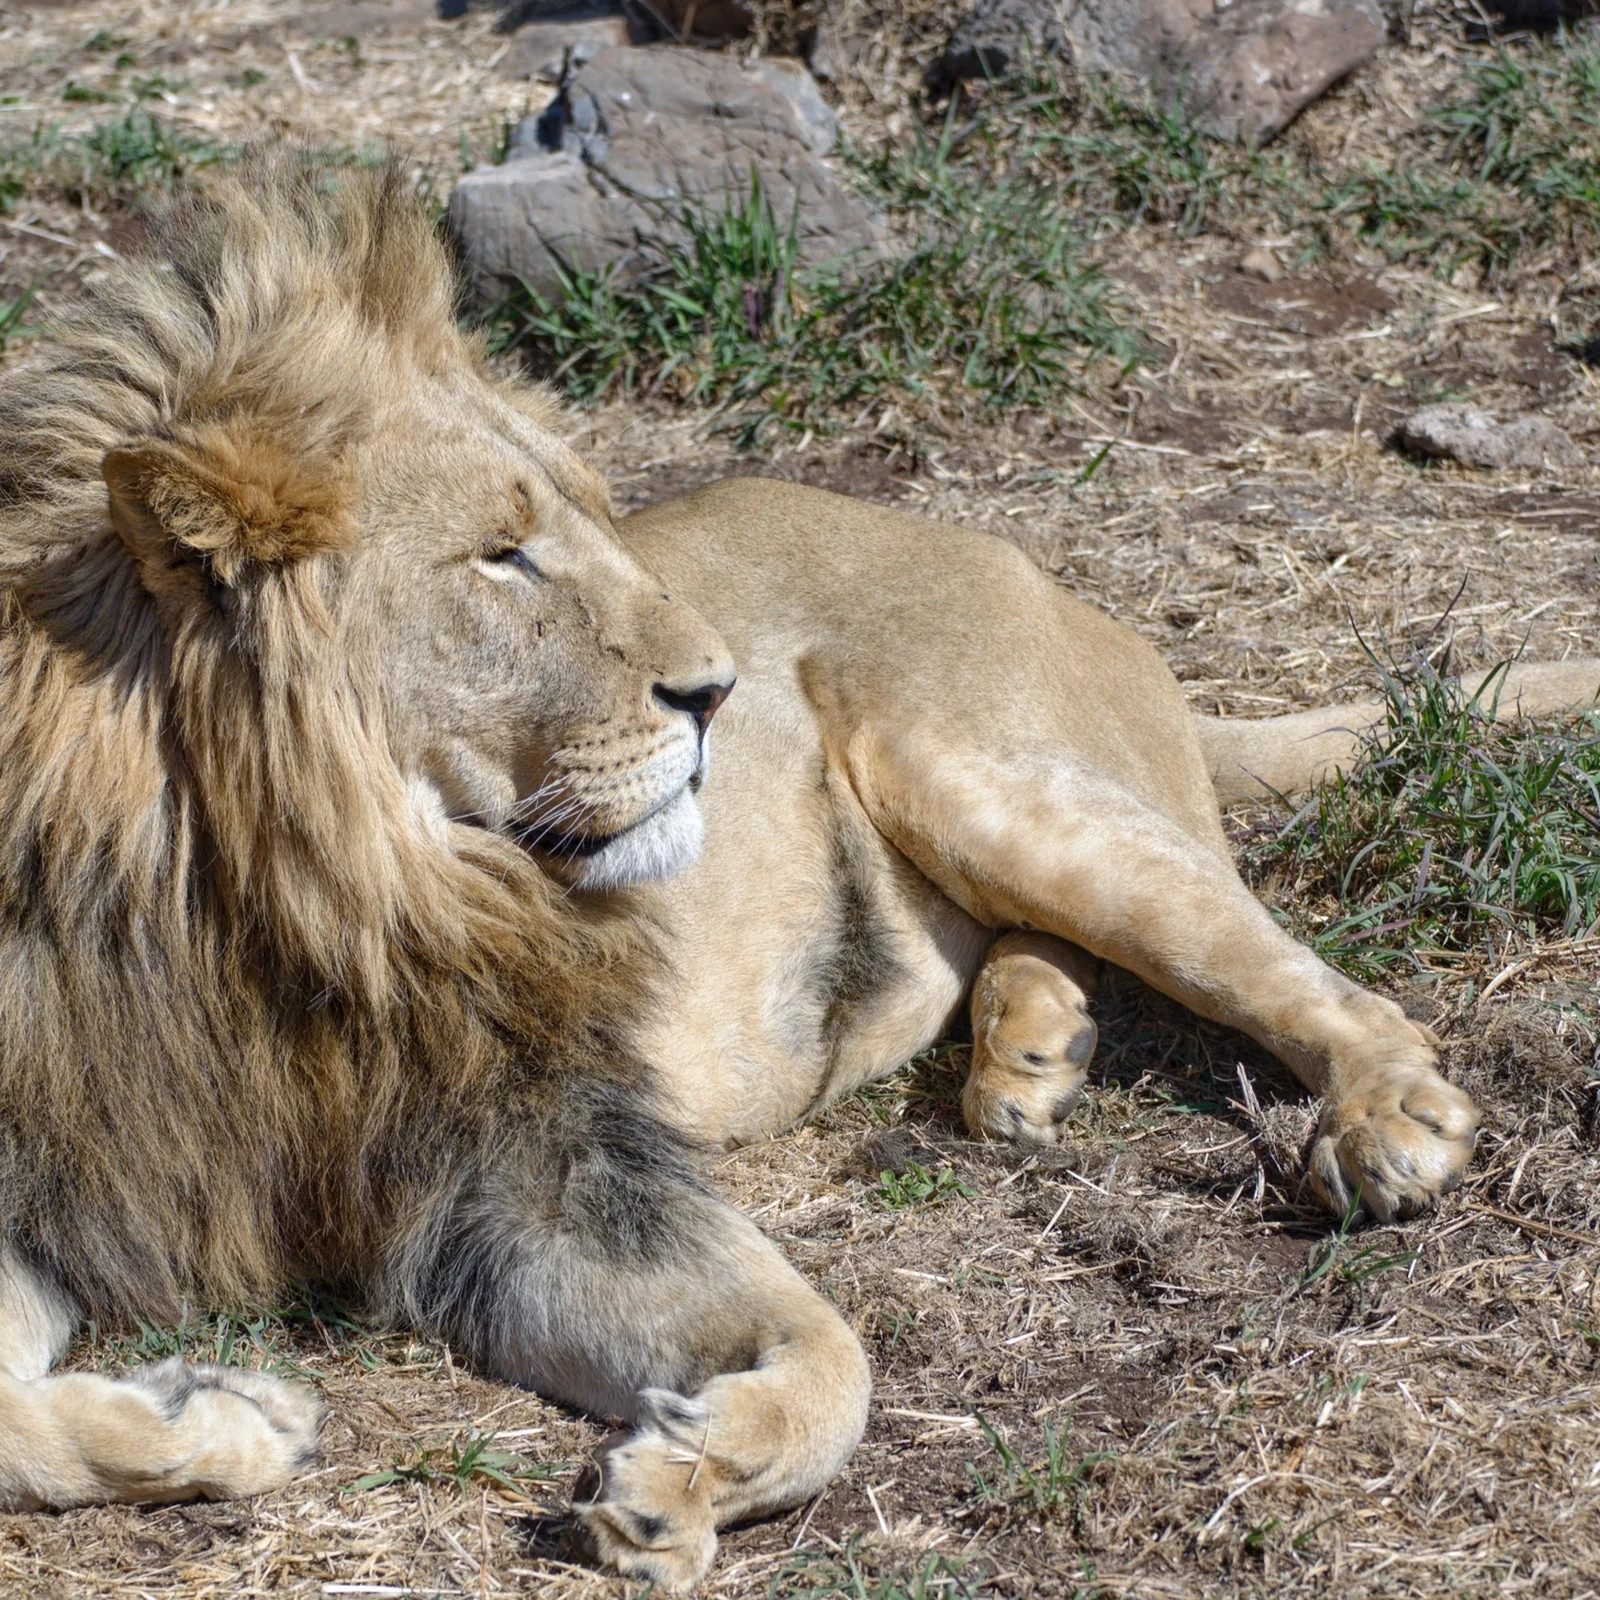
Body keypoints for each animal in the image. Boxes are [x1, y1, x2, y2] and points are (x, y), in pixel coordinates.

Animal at [0, 162, 1594, 1590]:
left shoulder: (532, 1149)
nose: (716, 690)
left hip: (979, 769)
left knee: (1294, 969)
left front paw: (686, 1474)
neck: (284, 898)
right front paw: (226, 1415)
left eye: (591, 521)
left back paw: (1381, 1123)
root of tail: (1053, 579)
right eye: (503, 555)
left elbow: (839, 1355)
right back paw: (1030, 1054)